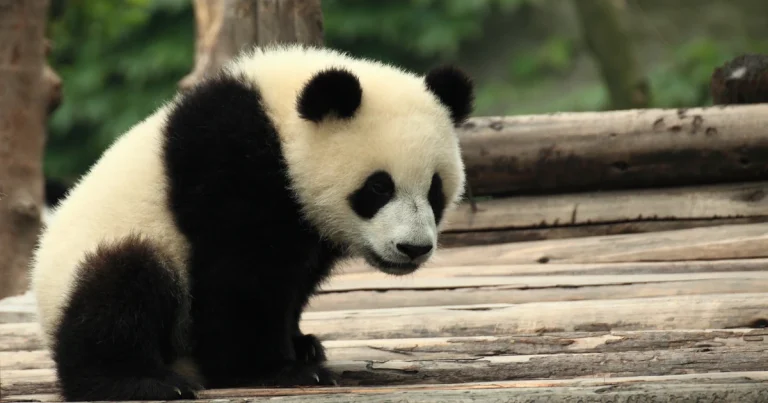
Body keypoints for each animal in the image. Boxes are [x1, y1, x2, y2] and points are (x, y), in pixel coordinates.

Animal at [30, 44, 473, 401]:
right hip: (108, 255)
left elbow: (293, 280)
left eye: (435, 189)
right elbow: (241, 277)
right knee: (122, 287)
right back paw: (140, 381)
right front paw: (279, 369)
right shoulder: (229, 165)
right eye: (379, 187)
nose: (413, 248)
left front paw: (301, 344)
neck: (280, 121)